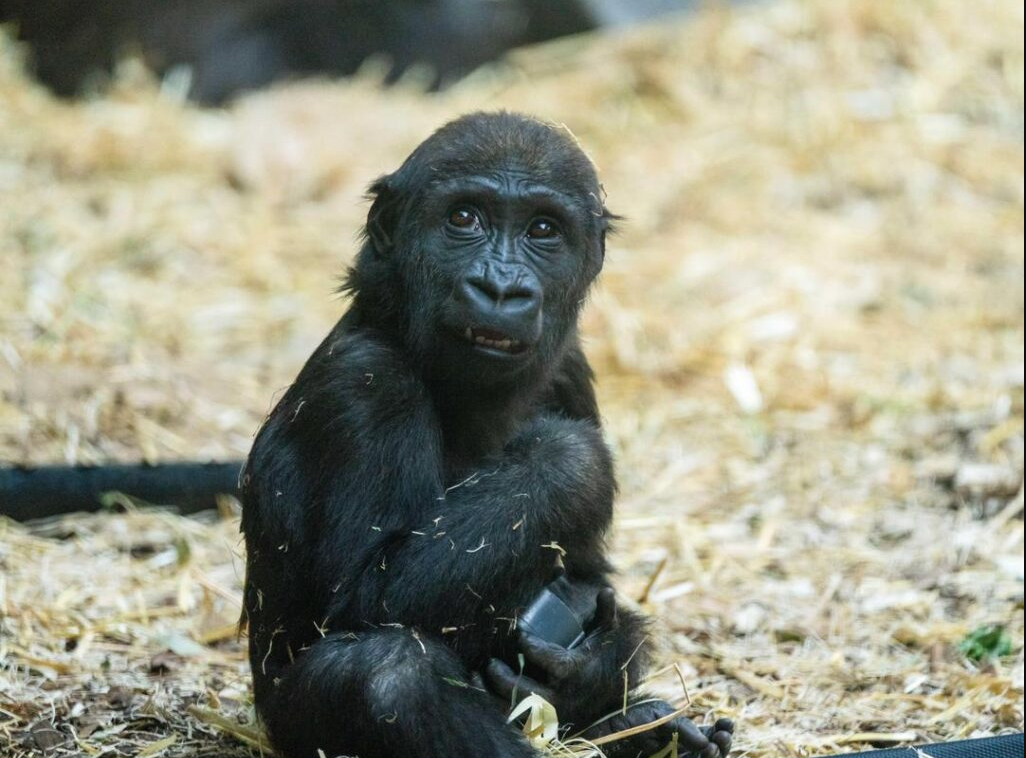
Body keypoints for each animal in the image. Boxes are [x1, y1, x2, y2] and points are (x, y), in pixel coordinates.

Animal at [238, 112, 738, 758]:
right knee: (386, 672)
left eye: (543, 229)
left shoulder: (570, 370)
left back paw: (633, 731)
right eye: (464, 219)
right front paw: (569, 463)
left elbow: (588, 576)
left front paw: (593, 664)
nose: (501, 288)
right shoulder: (366, 382)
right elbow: (361, 598)